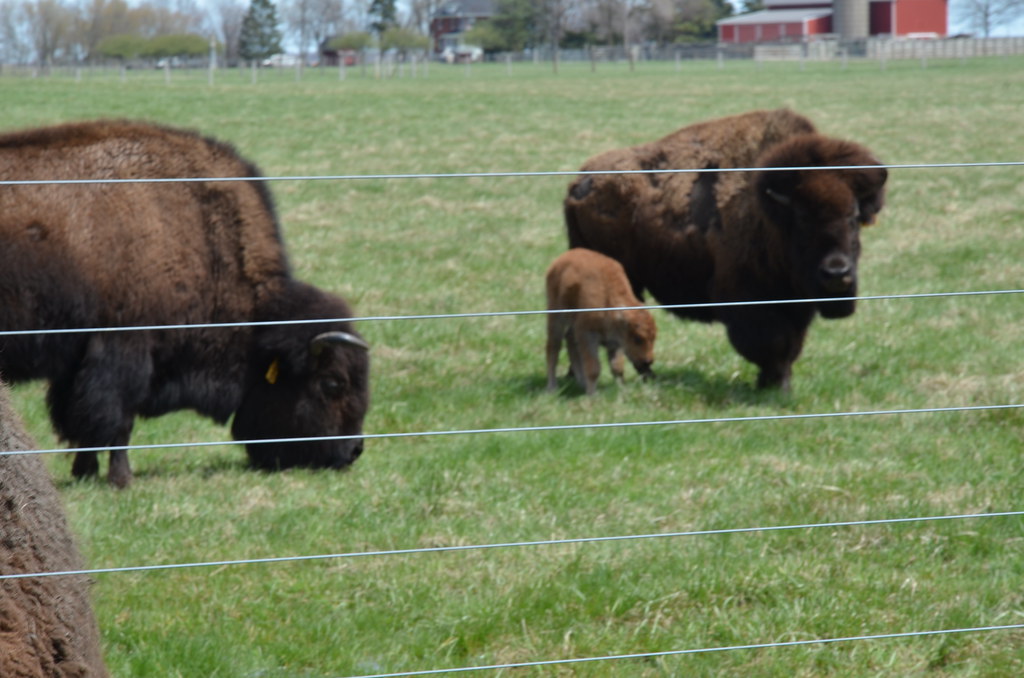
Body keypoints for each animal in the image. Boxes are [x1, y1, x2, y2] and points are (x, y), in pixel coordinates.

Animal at [0, 120, 370, 487]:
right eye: (332, 383)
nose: (353, 452)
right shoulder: (124, 353)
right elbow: (117, 422)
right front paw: (122, 479)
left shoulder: (79, 362)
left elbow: (82, 422)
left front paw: (86, 473)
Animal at [563, 108, 887, 390]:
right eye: (803, 219)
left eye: (853, 217)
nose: (837, 273)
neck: (770, 212)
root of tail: (580, 182)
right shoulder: (748, 299)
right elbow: (773, 343)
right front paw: (775, 385)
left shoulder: (795, 305)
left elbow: (790, 344)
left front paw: (776, 383)